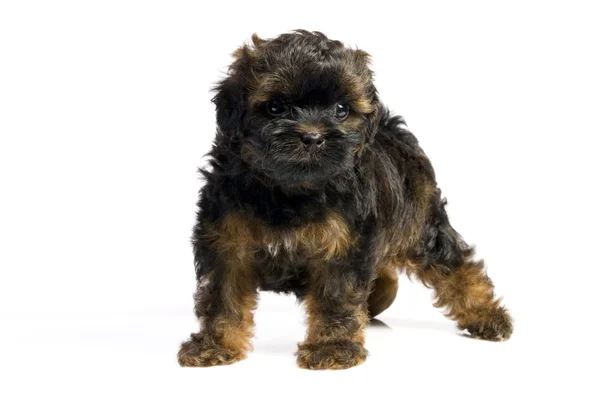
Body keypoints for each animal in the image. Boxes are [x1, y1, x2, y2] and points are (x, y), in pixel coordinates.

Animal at [177, 29, 510, 370]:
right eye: (276, 108)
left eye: (341, 110)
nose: (313, 137)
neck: (289, 190)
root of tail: (391, 129)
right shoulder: (226, 241)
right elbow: (223, 298)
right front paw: (215, 343)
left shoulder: (342, 246)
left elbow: (335, 296)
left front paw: (332, 346)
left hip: (422, 228)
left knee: (457, 266)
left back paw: (488, 316)